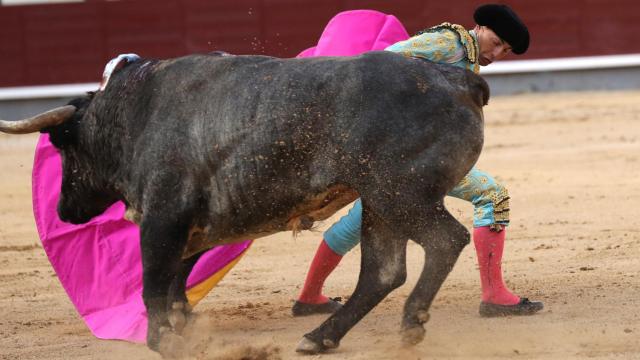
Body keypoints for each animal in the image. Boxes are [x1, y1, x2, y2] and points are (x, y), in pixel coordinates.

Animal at [1, 50, 490, 354]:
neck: (135, 111)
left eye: (63, 146)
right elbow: (176, 278)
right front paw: (183, 326)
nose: (63, 210)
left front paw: (164, 340)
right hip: (378, 202)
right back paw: (320, 337)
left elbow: (154, 279)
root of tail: (458, 79)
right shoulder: (191, 226)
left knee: (445, 240)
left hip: (398, 192)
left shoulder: (164, 216)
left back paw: (410, 321)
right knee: (383, 271)